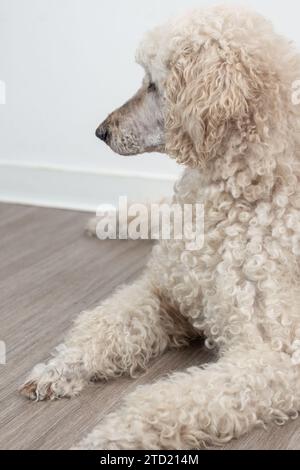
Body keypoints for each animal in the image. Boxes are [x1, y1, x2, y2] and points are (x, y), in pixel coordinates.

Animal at [21, 5, 300, 450]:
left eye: (153, 84)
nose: (101, 131)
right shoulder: (164, 292)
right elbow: (106, 324)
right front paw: (62, 366)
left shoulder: (279, 355)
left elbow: (170, 401)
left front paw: (110, 436)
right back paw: (109, 220)